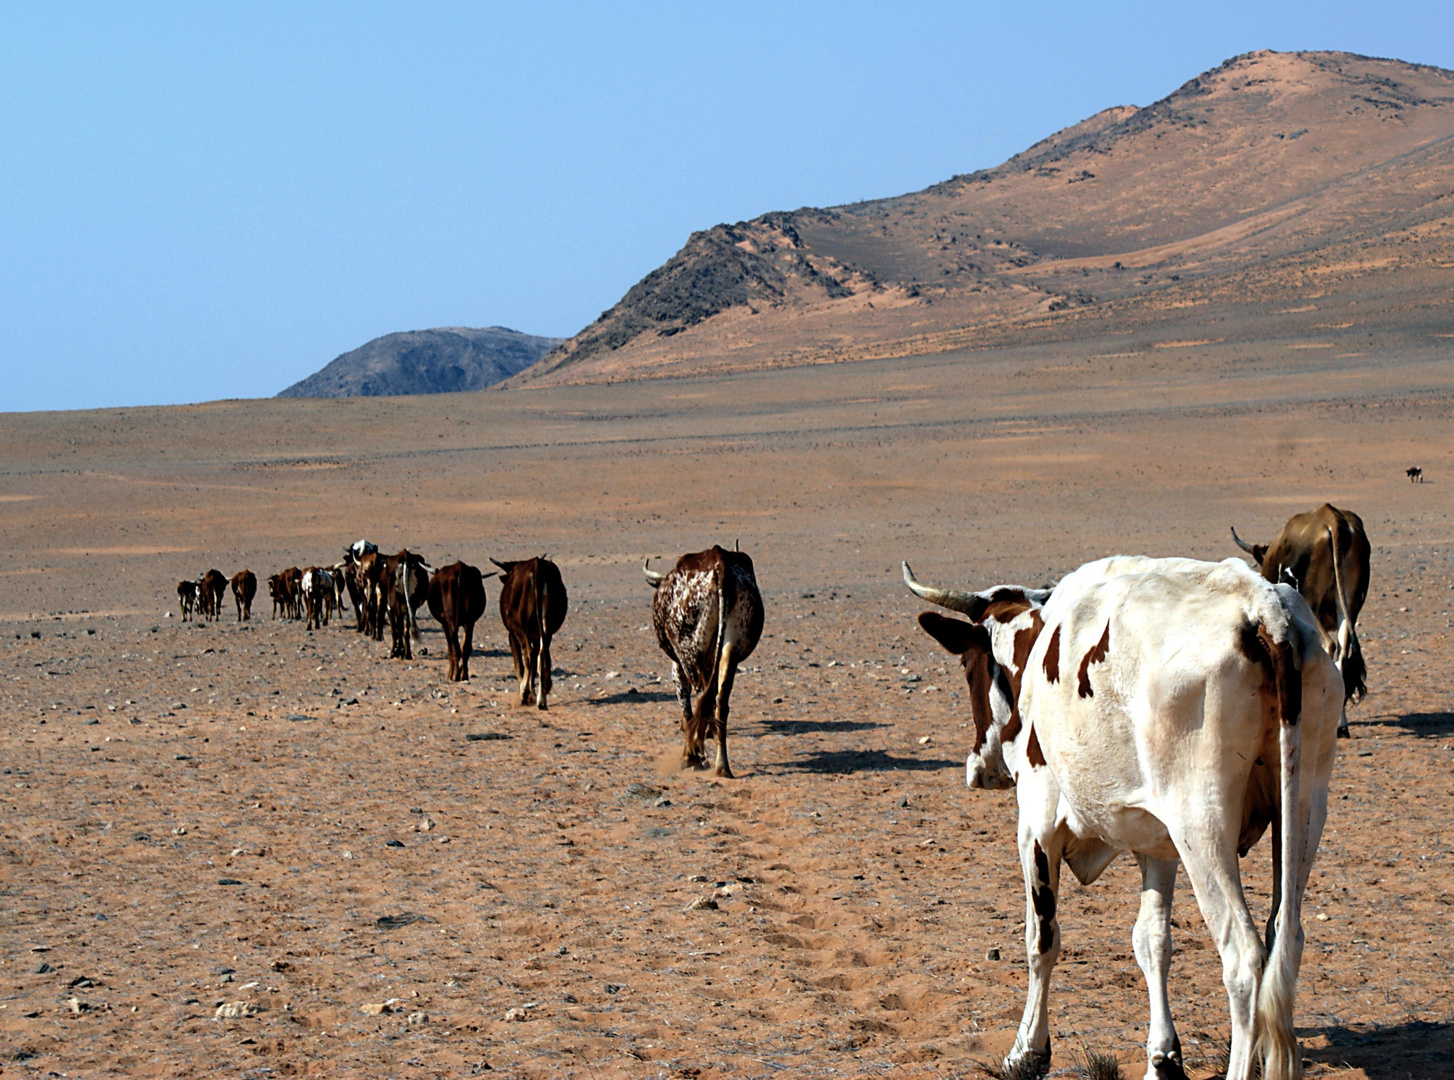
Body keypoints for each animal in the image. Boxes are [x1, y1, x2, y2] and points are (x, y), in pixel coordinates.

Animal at [488, 558, 561, 709]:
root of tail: (536, 564)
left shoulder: (512, 634)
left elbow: (519, 665)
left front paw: (527, 692)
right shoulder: (536, 636)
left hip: (522, 629)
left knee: (529, 654)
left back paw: (524, 694)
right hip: (546, 627)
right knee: (541, 655)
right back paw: (541, 698)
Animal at [645, 549, 767, 779]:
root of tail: (720, 565)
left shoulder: (677, 663)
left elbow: (685, 702)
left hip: (690, 654)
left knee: (701, 696)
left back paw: (691, 757)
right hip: (731, 648)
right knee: (720, 702)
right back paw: (722, 765)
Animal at [907, 558, 1337, 1080]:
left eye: (968, 665)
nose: (978, 769)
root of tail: (1262, 607)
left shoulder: (1036, 827)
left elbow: (1041, 939)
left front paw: (1028, 1047)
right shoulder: (1158, 847)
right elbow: (1152, 943)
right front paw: (1162, 1057)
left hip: (1202, 828)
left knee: (1244, 958)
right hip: (1304, 807)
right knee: (1286, 940)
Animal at [1232, 505, 1366, 738]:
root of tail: (1333, 519)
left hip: (1311, 602)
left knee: (1330, 645)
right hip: (1348, 604)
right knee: (1342, 651)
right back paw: (1340, 725)